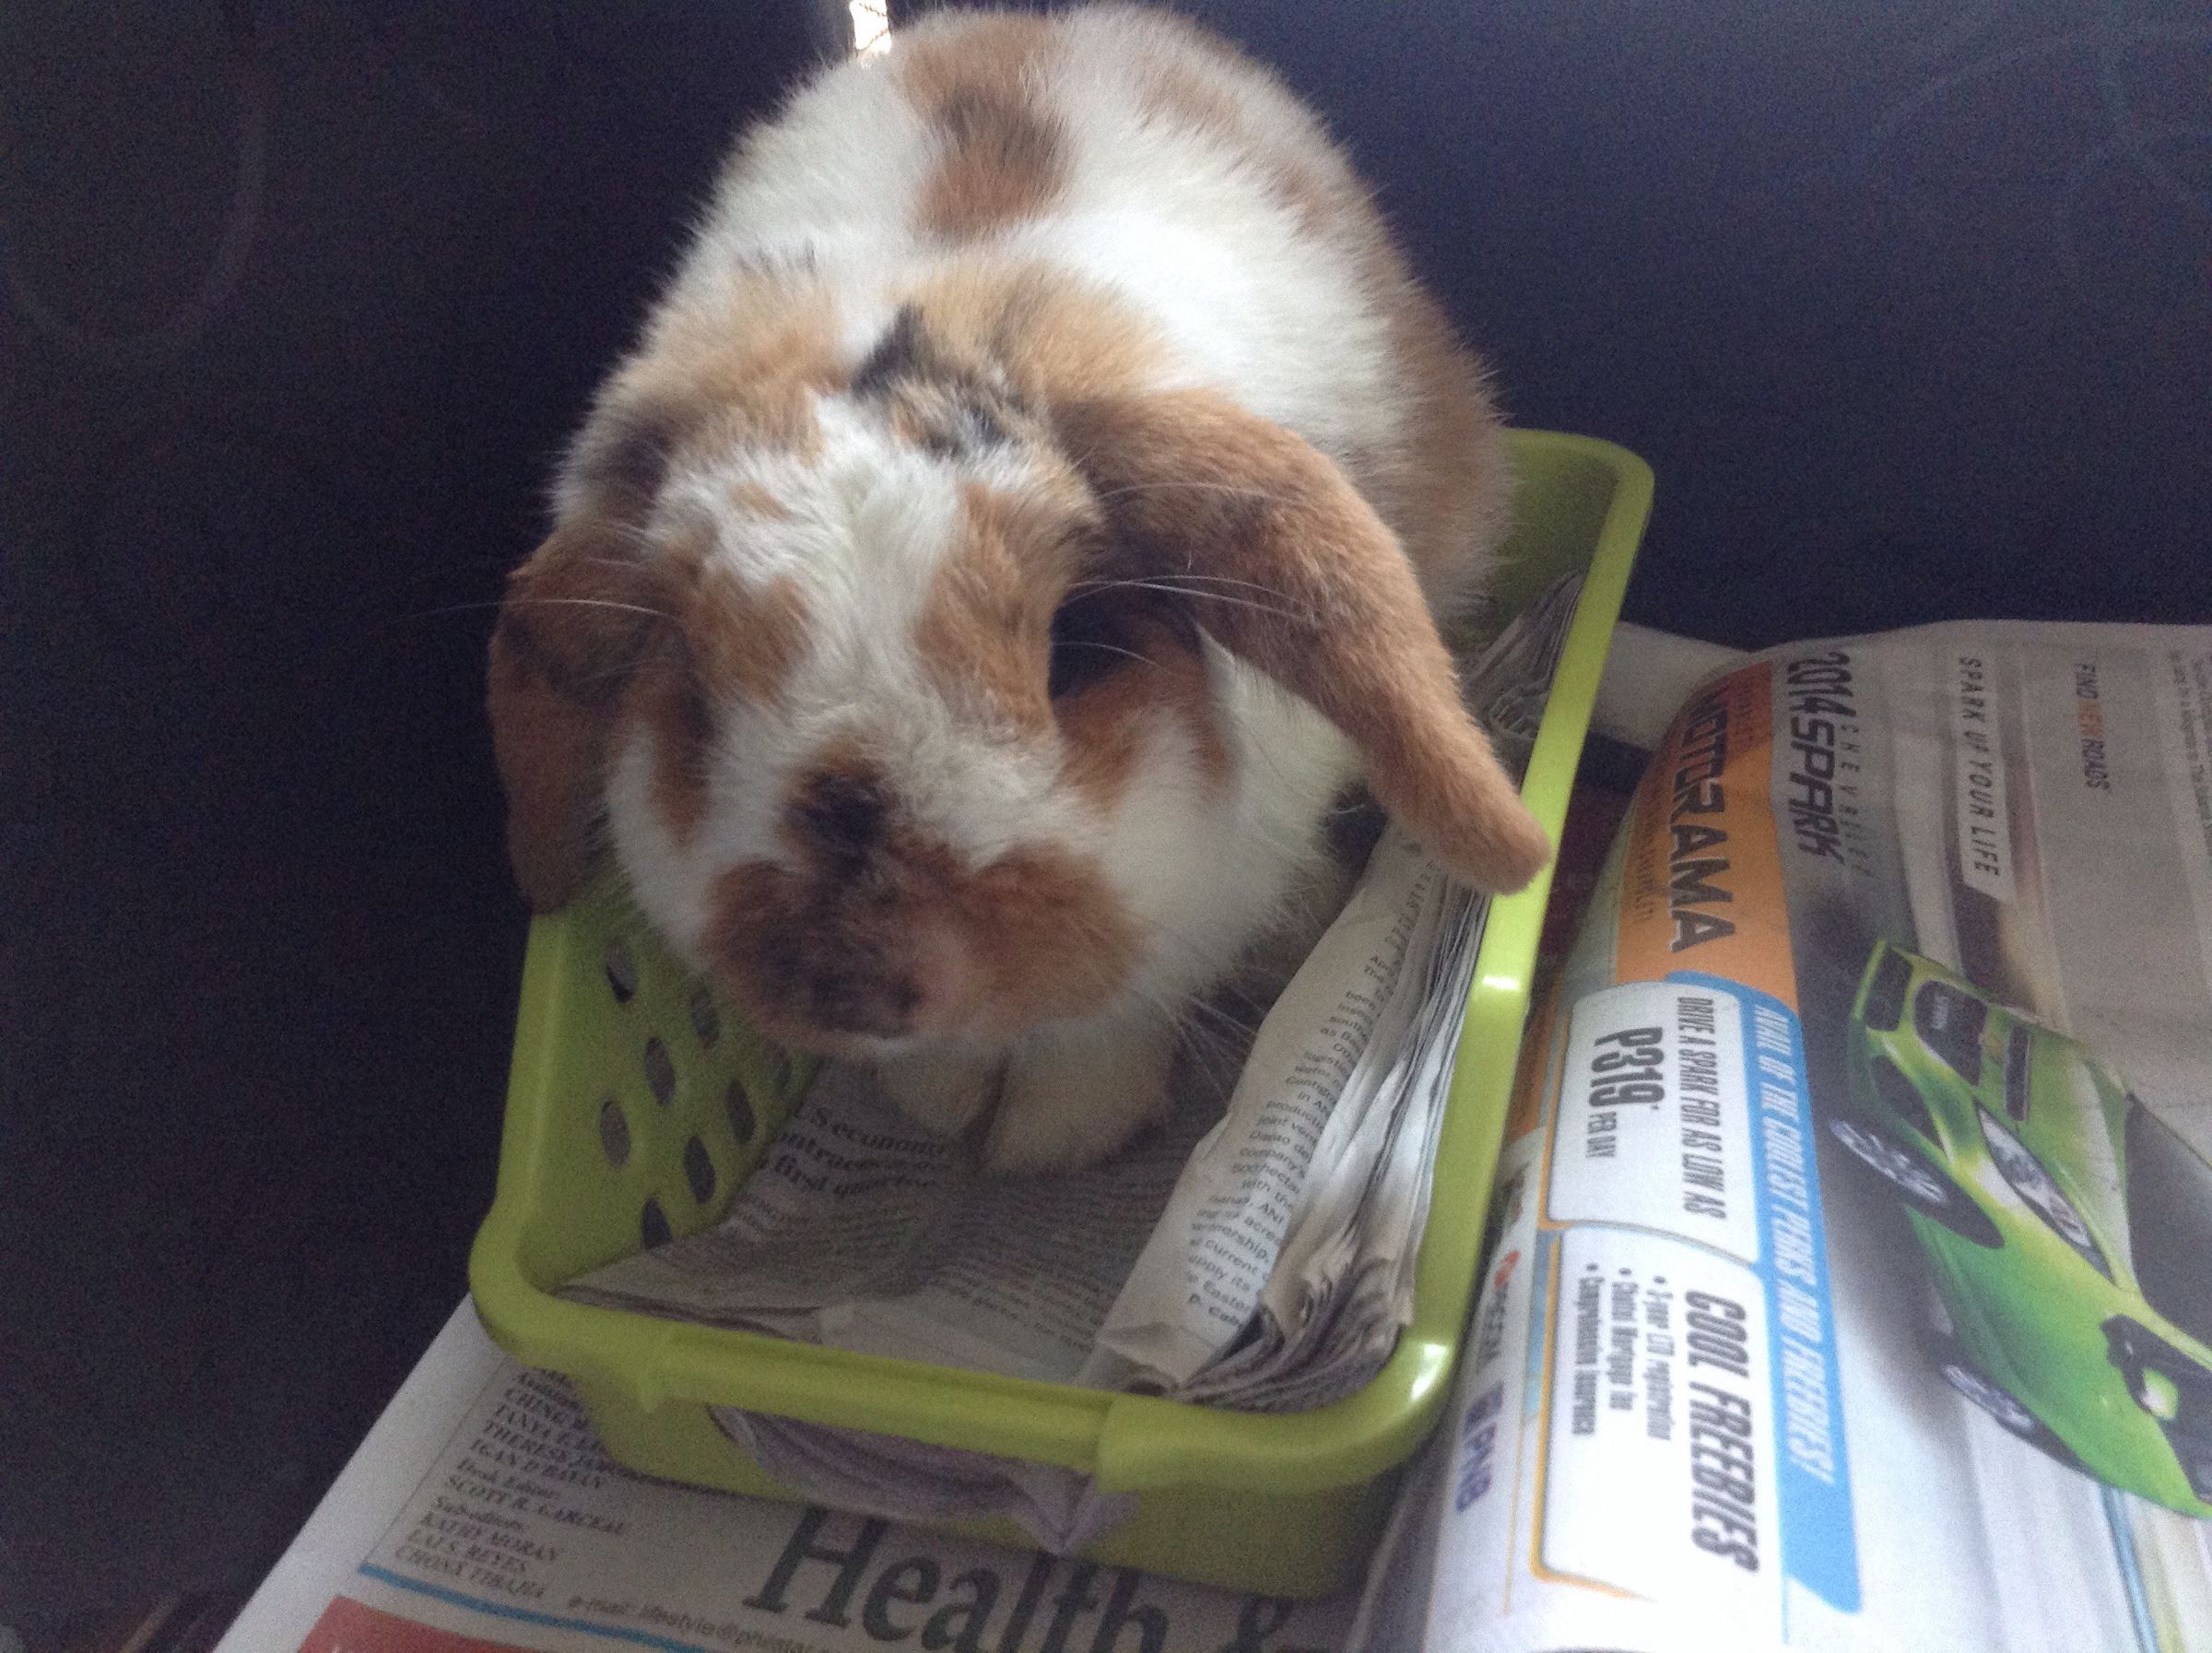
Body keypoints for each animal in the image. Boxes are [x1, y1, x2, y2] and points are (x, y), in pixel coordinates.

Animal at [486, 5, 1550, 1175]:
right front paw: (948, 1106)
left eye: (1078, 648)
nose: (867, 978)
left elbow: (1116, 1018)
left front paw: (1057, 1135)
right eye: (692, 689)